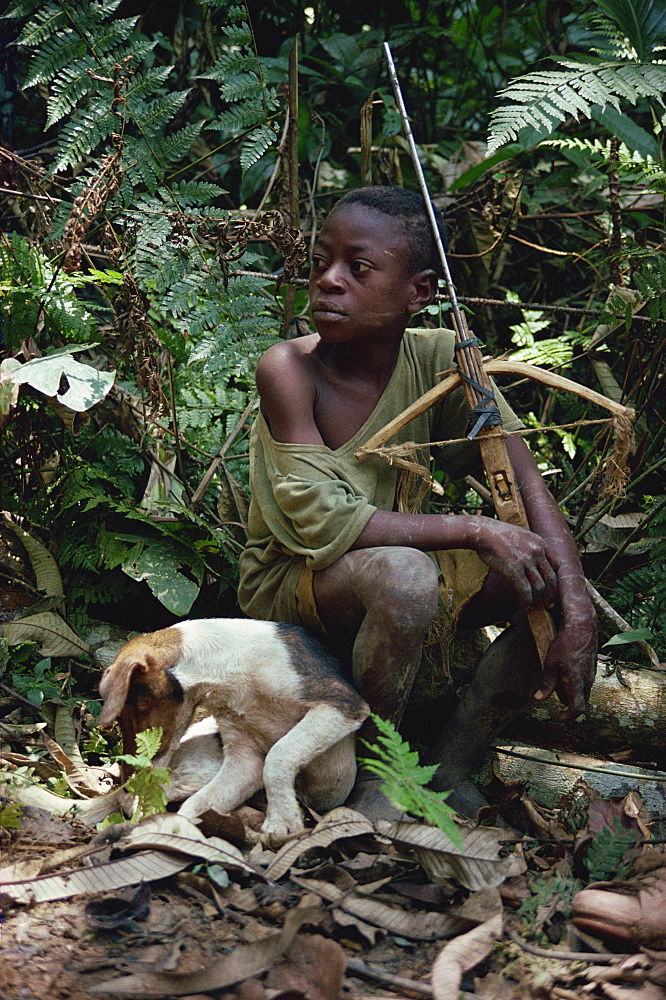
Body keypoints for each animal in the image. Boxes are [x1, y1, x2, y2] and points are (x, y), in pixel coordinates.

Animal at [97, 620, 368, 840]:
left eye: (135, 708)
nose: (127, 784)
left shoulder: (342, 704)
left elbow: (278, 755)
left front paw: (281, 821)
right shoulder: (244, 757)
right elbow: (195, 806)